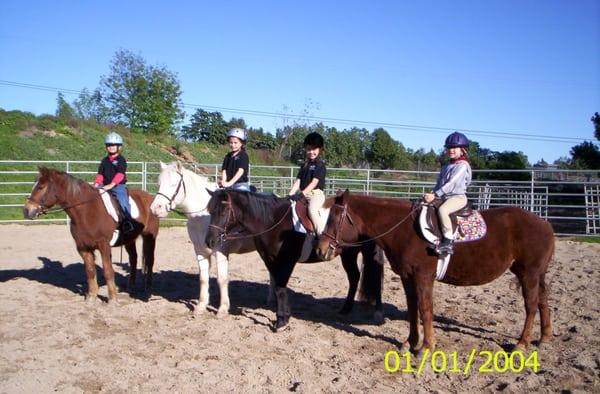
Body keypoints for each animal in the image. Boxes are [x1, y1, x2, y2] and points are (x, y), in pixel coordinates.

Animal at [23, 167, 159, 302]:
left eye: (41, 187)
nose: (27, 211)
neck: (87, 211)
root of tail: (150, 198)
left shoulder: (104, 246)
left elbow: (108, 271)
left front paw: (112, 298)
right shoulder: (82, 247)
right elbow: (90, 271)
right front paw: (91, 296)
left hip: (150, 237)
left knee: (150, 260)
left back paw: (148, 288)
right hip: (129, 239)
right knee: (133, 258)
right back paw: (131, 286)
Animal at [150, 162, 255, 316]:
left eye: (174, 183)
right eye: (159, 183)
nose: (155, 209)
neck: (203, 216)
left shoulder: (221, 252)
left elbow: (222, 279)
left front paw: (223, 308)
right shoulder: (199, 250)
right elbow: (203, 278)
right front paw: (201, 306)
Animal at [206, 189, 384, 330]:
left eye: (223, 212)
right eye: (210, 211)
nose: (209, 241)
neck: (272, 221)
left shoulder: (287, 261)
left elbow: (280, 287)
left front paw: (281, 322)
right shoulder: (269, 259)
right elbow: (278, 286)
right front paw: (283, 316)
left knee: (372, 279)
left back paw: (377, 314)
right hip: (348, 254)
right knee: (354, 277)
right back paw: (345, 310)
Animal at [316, 189, 556, 352]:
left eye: (335, 219)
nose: (321, 249)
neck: (405, 230)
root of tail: (545, 224)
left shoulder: (424, 277)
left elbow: (425, 309)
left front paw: (426, 347)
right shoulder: (407, 277)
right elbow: (413, 308)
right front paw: (410, 342)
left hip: (529, 273)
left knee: (531, 305)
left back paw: (521, 343)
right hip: (537, 274)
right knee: (543, 301)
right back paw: (544, 338)